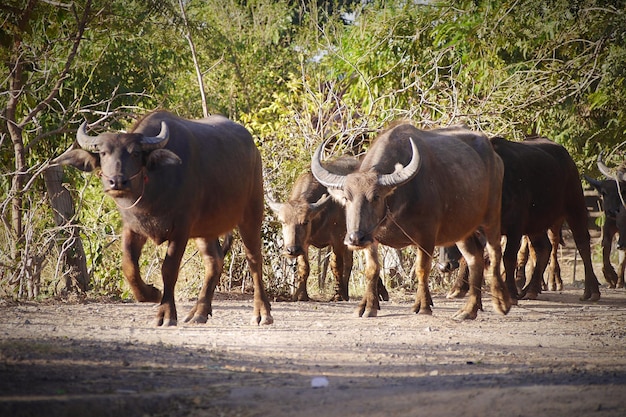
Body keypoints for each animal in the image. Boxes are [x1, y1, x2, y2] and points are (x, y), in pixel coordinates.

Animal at [55, 109, 272, 324]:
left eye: (135, 153)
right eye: (103, 153)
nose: (116, 181)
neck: (152, 192)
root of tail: (253, 149)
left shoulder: (181, 229)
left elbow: (169, 269)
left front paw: (166, 312)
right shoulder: (133, 228)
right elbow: (128, 265)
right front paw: (151, 293)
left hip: (252, 213)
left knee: (254, 259)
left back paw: (262, 312)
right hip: (205, 229)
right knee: (214, 260)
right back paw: (199, 312)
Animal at [266, 158, 388, 300]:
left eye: (305, 222)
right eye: (283, 222)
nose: (292, 250)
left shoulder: (337, 238)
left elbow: (336, 265)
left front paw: (338, 294)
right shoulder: (304, 243)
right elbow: (304, 267)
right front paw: (301, 295)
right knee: (349, 262)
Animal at [310, 122, 510, 320]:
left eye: (375, 197)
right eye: (346, 198)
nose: (355, 238)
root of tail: (495, 158)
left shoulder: (426, 235)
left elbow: (422, 269)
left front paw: (423, 306)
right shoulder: (371, 238)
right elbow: (372, 269)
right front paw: (368, 306)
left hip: (491, 217)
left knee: (494, 252)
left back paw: (502, 303)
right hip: (462, 228)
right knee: (474, 259)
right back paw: (469, 310)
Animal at [444, 136, 600, 302]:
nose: (445, 265)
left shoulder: (515, 228)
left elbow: (509, 257)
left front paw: (511, 292)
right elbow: (468, 257)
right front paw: (458, 288)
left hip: (575, 207)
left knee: (582, 243)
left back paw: (591, 291)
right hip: (536, 223)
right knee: (543, 247)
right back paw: (530, 289)